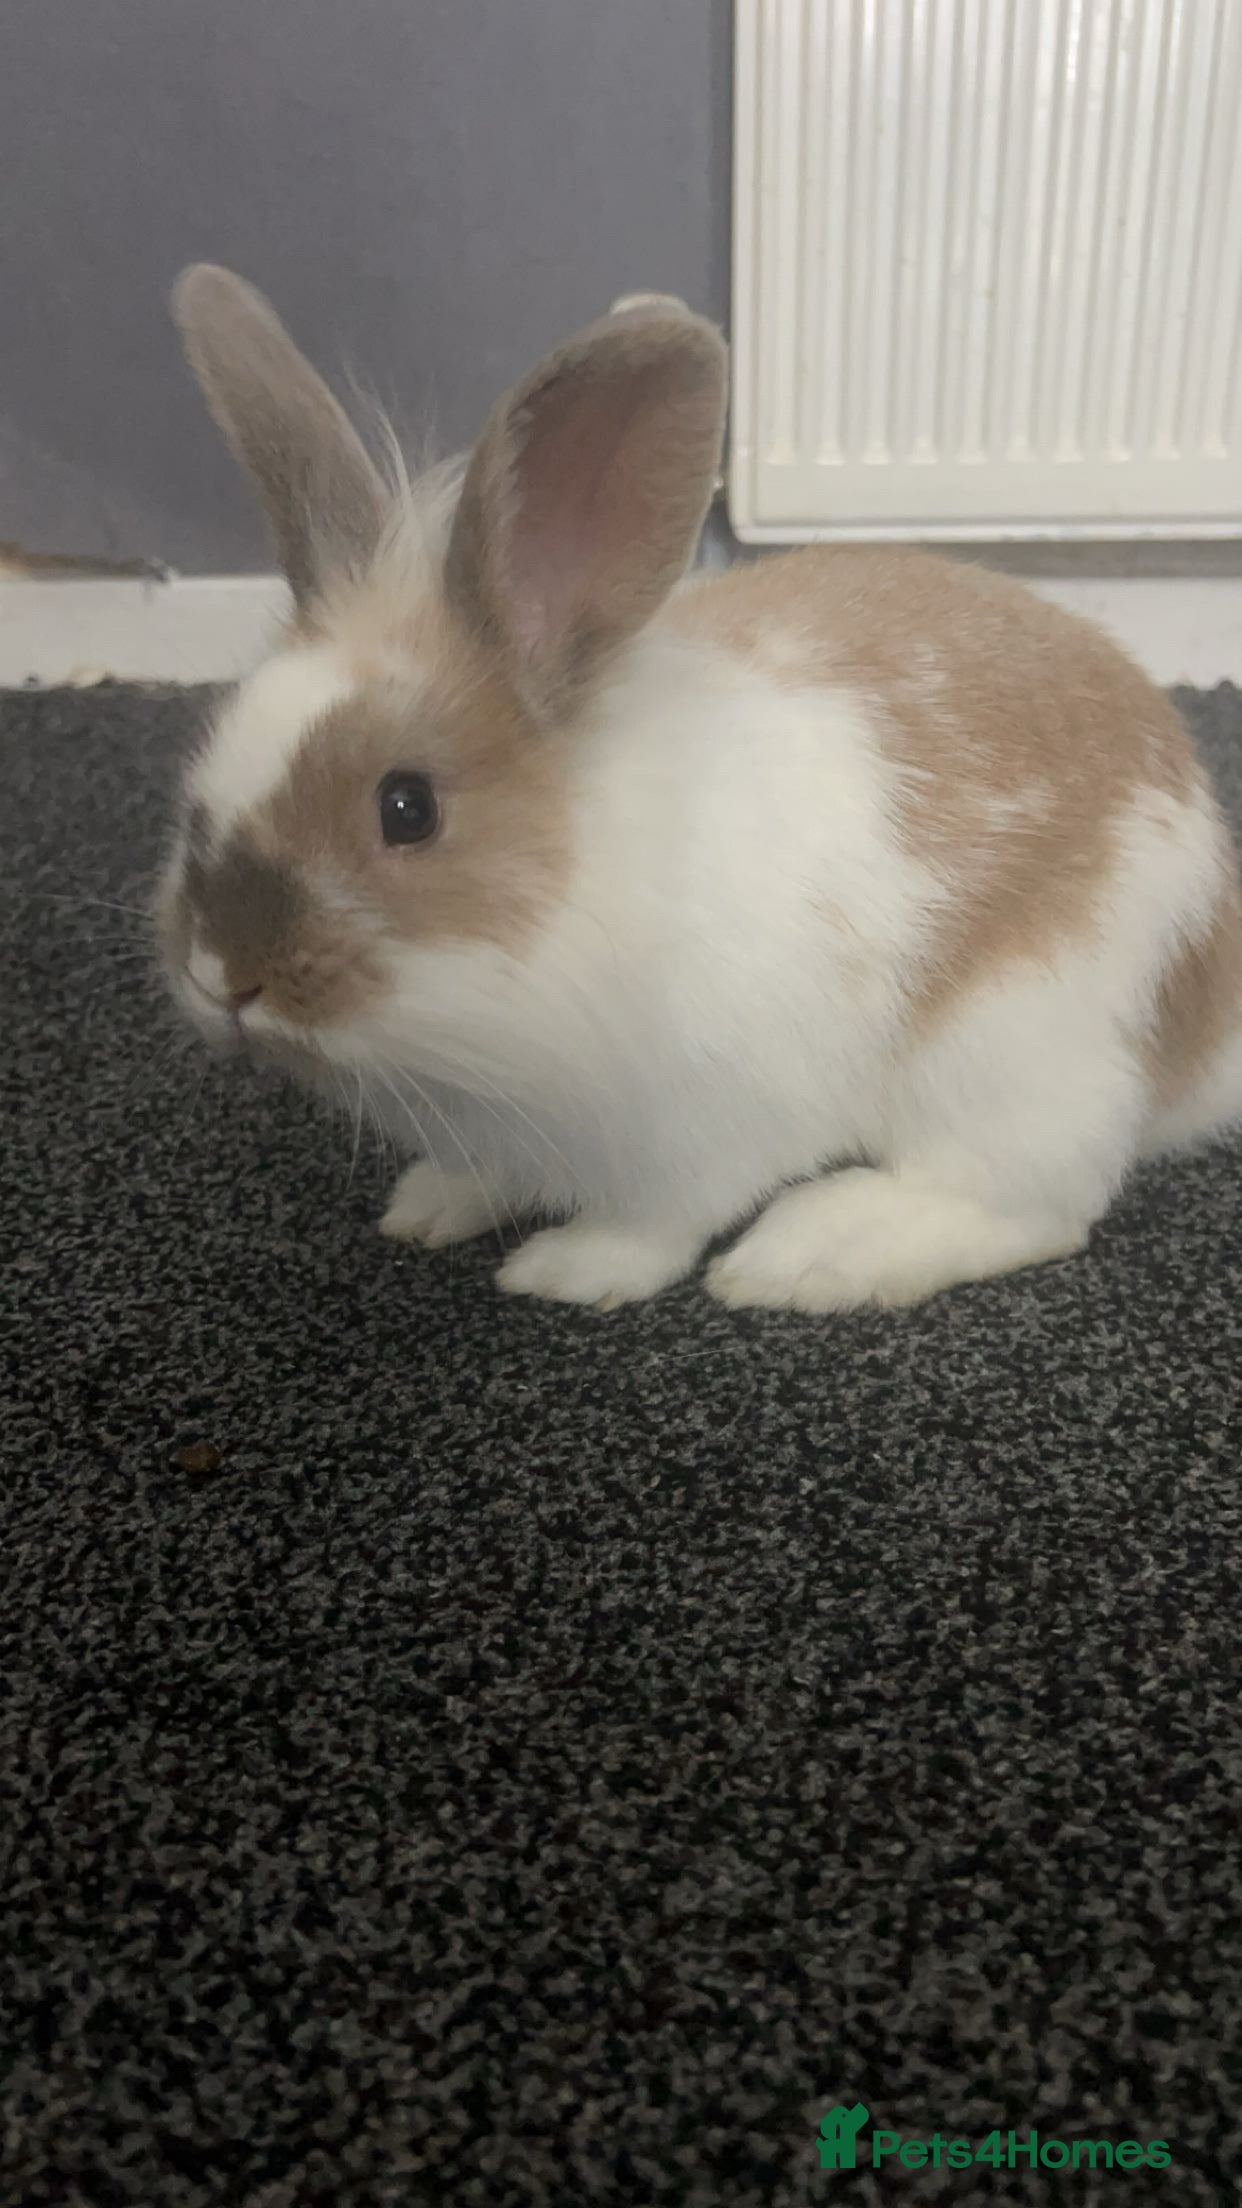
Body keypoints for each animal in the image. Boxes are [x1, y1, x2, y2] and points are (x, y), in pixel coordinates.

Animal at [157, 263, 1242, 1313]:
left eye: (406, 808)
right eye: (210, 751)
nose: (223, 972)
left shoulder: (698, 1138)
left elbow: (653, 1228)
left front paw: (568, 1270)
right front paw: (429, 1204)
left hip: (1012, 1053)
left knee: (1031, 1207)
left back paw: (811, 1254)